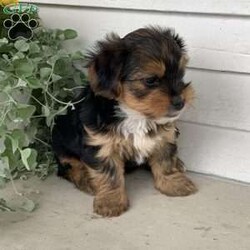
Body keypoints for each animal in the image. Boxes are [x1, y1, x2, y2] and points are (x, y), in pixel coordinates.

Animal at [52, 25, 197, 217]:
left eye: (180, 75)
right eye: (150, 80)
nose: (181, 102)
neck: (136, 115)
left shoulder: (164, 138)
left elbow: (165, 161)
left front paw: (174, 183)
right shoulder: (101, 145)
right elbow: (109, 173)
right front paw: (111, 201)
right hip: (61, 143)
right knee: (68, 166)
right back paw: (85, 179)